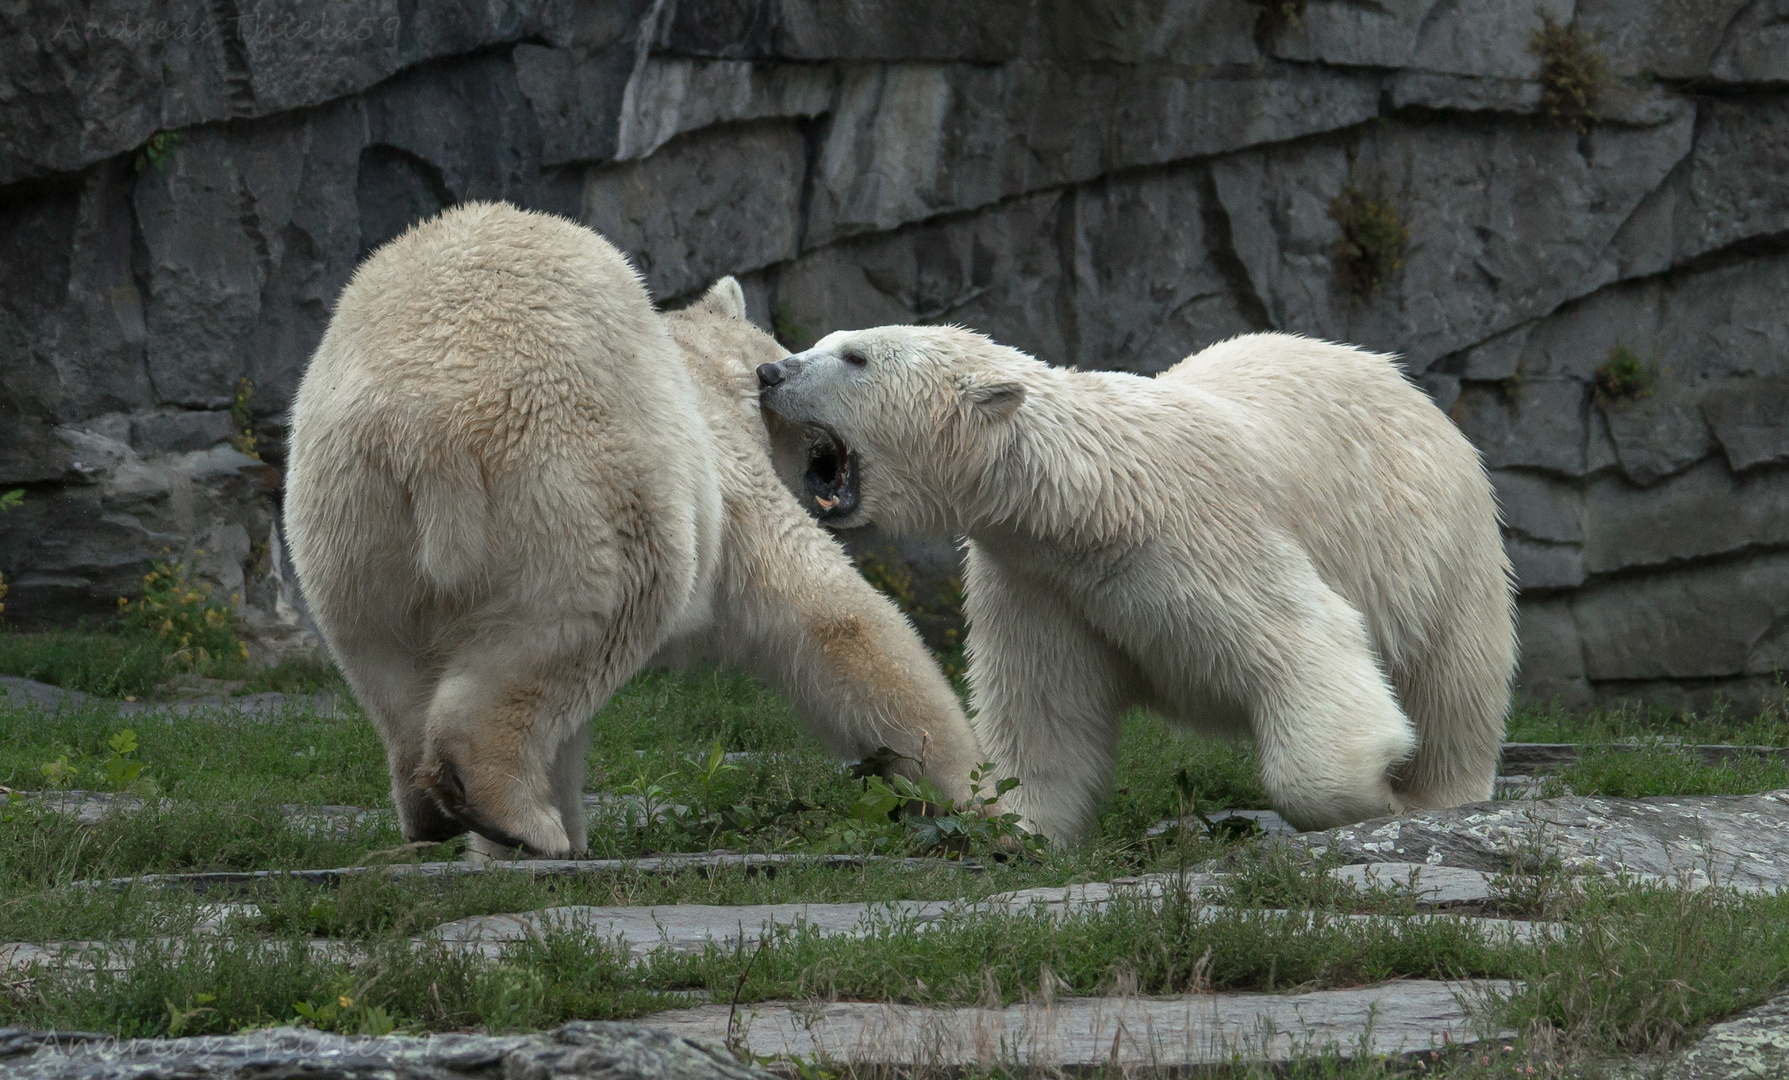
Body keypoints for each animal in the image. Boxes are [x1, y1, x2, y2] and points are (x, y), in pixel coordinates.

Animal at [282, 204, 980, 861]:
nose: (780, 373)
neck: (705, 367)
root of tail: (423, 433)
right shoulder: (721, 469)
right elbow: (834, 616)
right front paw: (974, 794)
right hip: (577, 480)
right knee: (586, 618)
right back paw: (511, 810)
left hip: (349, 517)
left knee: (385, 659)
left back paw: (447, 813)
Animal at [751, 327, 1509, 843]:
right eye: (822, 343)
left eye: (855, 356)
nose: (769, 370)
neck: (1089, 499)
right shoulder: (1035, 580)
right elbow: (1044, 709)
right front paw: (1020, 827)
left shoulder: (1197, 534)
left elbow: (1303, 643)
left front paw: (1376, 799)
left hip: (1436, 538)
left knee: (1453, 680)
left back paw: (1437, 798)